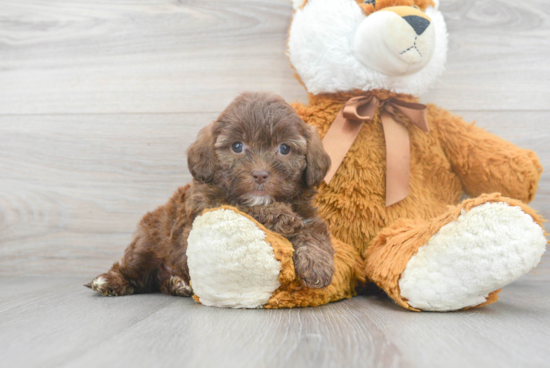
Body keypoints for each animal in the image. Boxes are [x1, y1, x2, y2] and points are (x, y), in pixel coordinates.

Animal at [87, 92, 336, 300]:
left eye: (284, 149)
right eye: (237, 146)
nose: (260, 174)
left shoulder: (309, 216)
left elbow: (314, 234)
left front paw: (317, 264)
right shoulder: (206, 207)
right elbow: (242, 205)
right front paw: (281, 216)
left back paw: (177, 284)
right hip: (147, 243)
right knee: (135, 271)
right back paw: (109, 281)